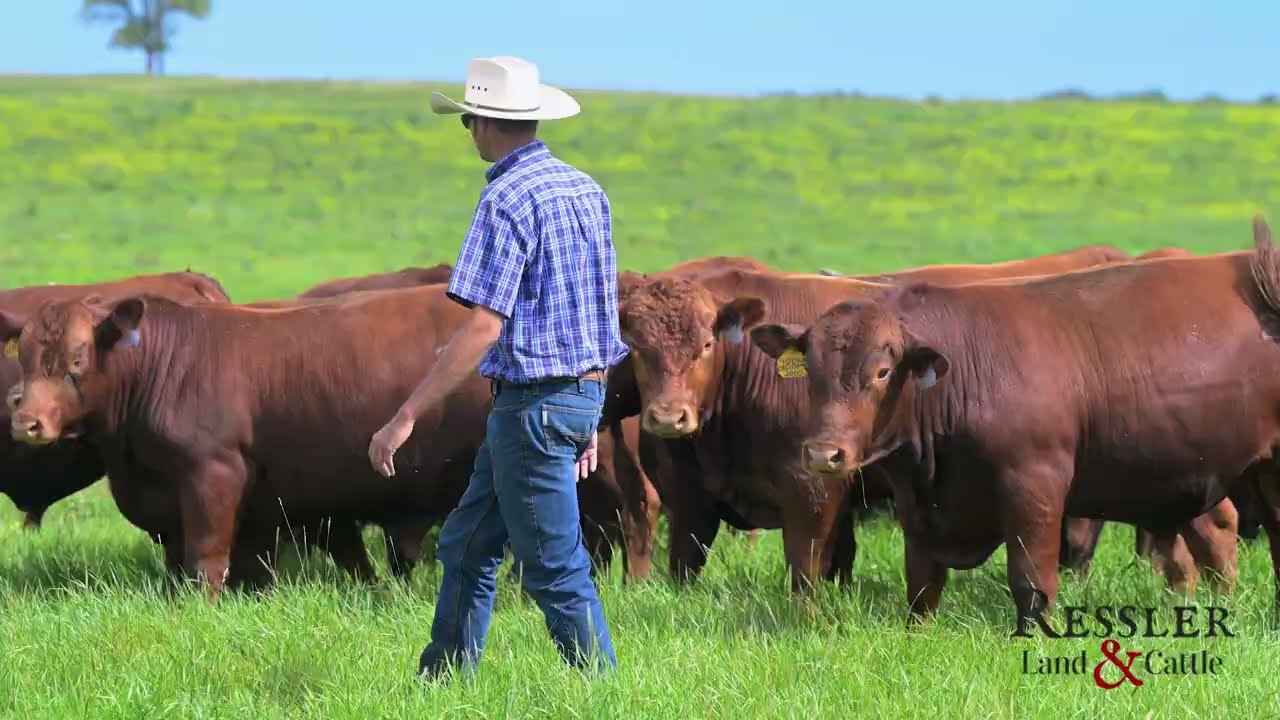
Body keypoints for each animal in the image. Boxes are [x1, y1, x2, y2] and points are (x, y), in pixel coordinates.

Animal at [749, 217, 1280, 630]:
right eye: (810, 367)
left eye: (882, 371)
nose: (824, 454)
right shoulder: (918, 508)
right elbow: (921, 584)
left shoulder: (1036, 487)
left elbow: (1031, 579)